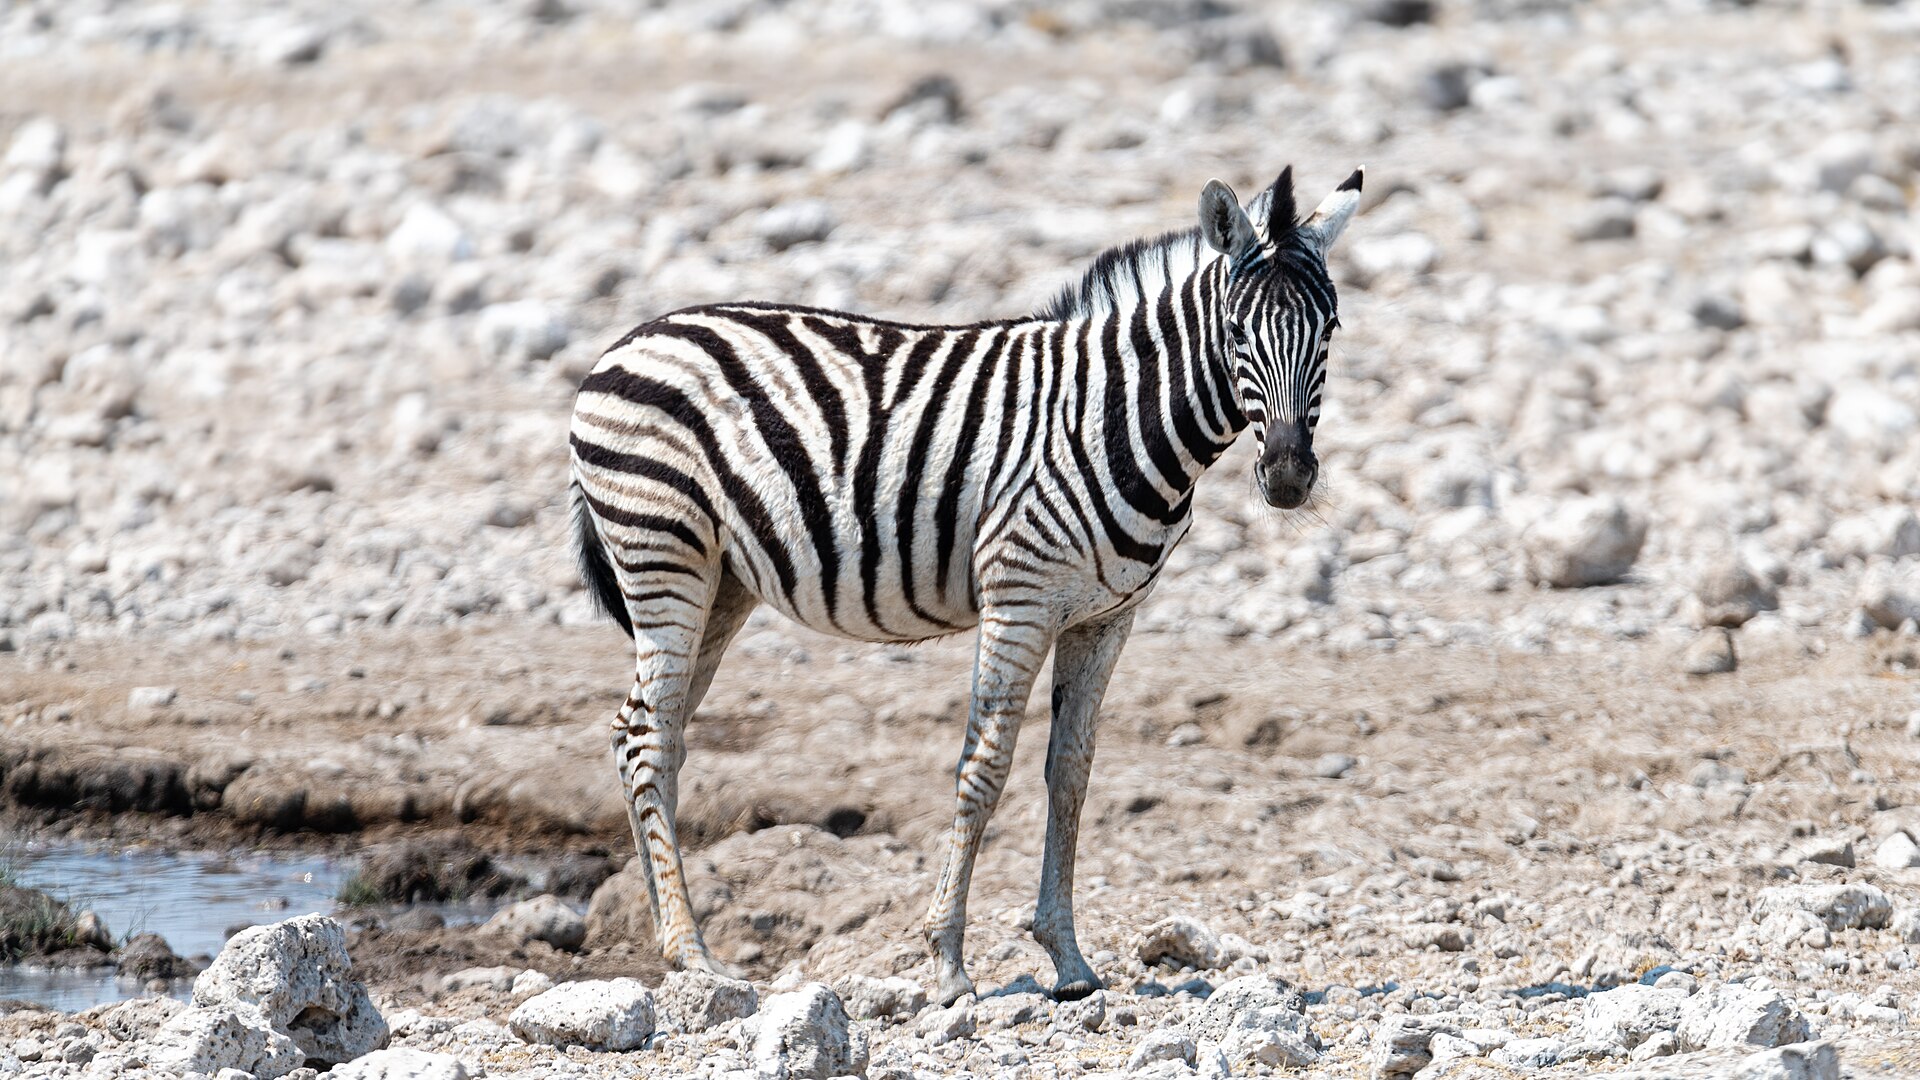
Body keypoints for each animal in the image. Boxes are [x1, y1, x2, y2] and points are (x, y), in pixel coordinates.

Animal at [568, 165, 1363, 1005]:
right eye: (1237, 331)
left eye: (1331, 330)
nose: (1287, 477)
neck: (1119, 416)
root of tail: (630, 340)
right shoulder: (1019, 599)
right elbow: (984, 771)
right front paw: (948, 962)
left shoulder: (1106, 618)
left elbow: (1070, 774)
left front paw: (1069, 961)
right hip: (665, 559)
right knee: (648, 737)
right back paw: (691, 949)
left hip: (722, 584)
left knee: (646, 736)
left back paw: (664, 932)